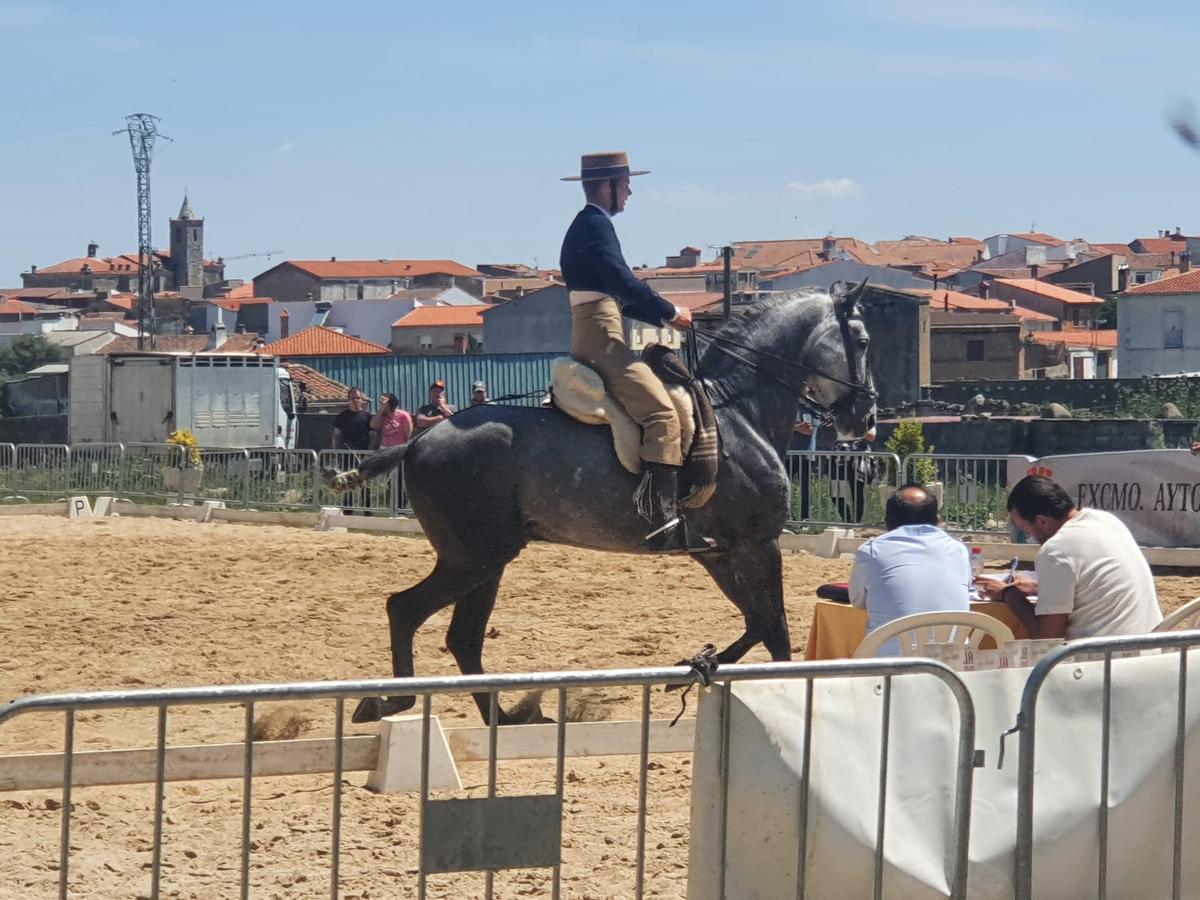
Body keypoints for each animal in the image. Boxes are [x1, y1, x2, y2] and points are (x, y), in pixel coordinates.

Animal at [333, 286, 878, 724]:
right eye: (863, 341)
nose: (867, 419)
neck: (740, 412)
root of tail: (419, 441)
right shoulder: (757, 544)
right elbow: (776, 629)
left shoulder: (720, 552)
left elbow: (756, 622)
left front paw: (693, 666)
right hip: (474, 558)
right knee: (407, 611)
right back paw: (392, 702)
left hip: (486, 561)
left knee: (463, 638)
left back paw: (506, 719)